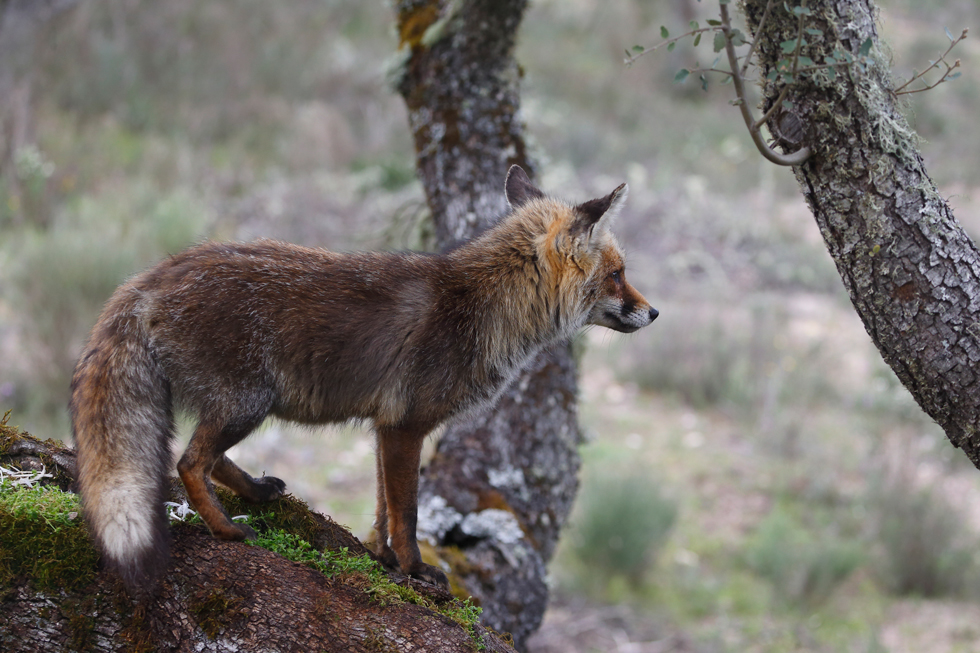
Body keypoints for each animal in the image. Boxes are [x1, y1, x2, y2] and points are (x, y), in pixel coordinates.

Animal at [69, 166, 660, 592]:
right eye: (618, 275)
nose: (654, 313)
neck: (483, 307)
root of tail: (151, 275)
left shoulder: (385, 426)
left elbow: (381, 508)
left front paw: (382, 558)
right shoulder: (407, 426)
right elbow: (408, 513)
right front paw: (415, 569)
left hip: (241, 404)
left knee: (207, 459)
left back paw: (257, 491)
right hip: (248, 402)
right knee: (190, 463)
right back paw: (227, 529)